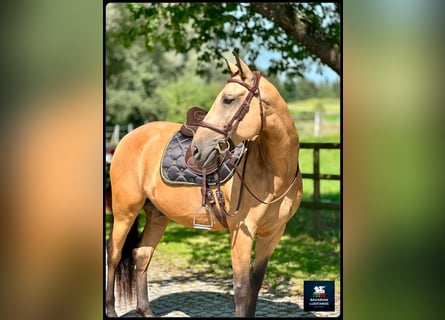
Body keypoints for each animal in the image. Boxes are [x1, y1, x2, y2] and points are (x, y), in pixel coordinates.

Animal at [106, 51, 304, 316]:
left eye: (228, 99)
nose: (197, 150)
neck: (273, 174)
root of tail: (127, 138)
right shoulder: (242, 232)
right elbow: (242, 289)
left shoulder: (272, 233)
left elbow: (255, 284)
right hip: (124, 212)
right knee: (114, 254)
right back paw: (110, 309)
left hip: (158, 215)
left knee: (141, 255)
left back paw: (146, 311)